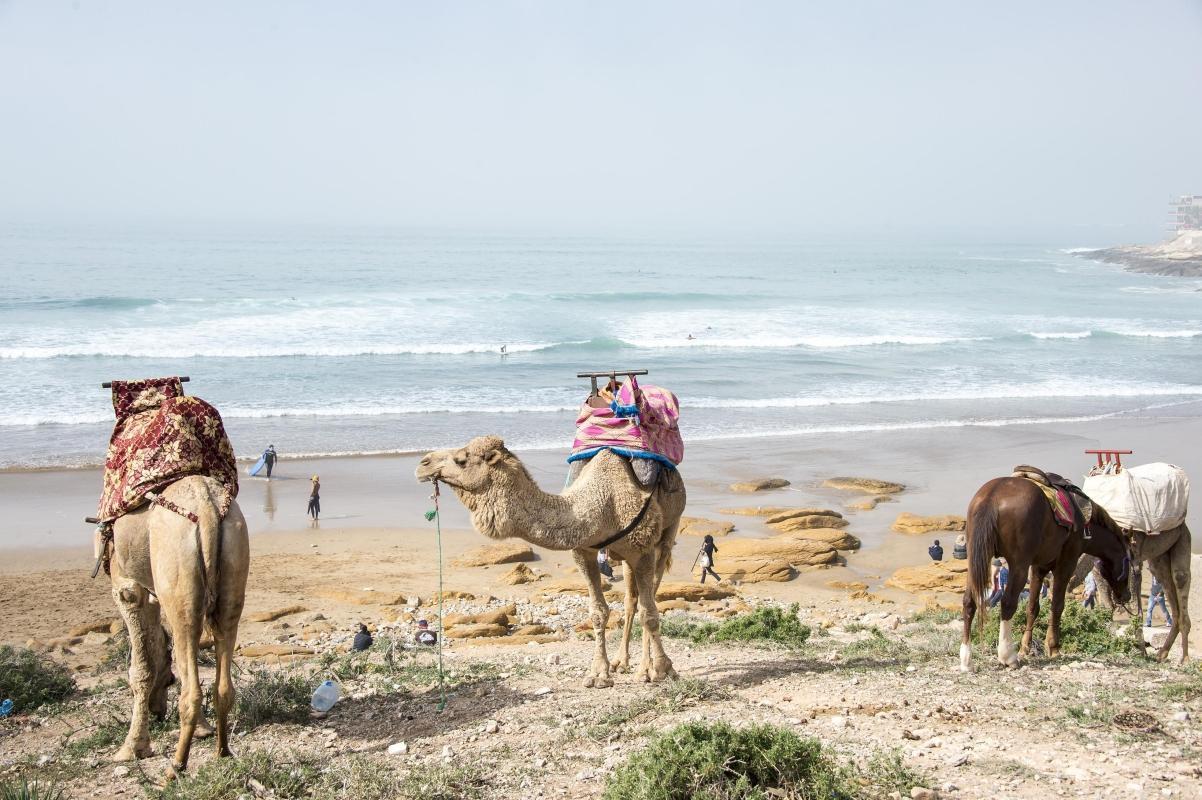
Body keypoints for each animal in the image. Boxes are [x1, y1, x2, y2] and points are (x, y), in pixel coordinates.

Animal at [103, 473, 251, 773]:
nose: (158, 711)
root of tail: (206, 507)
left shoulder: (128, 588)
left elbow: (141, 668)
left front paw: (132, 748)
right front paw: (203, 730)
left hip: (176, 570)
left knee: (191, 686)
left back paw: (176, 766)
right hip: (235, 559)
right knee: (221, 680)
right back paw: (222, 750)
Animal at [418, 437, 687, 687]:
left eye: (461, 459)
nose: (423, 463)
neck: (601, 504)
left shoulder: (643, 549)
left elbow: (649, 612)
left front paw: (662, 669)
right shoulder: (584, 551)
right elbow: (599, 612)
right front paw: (599, 674)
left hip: (666, 534)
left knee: (649, 594)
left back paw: (644, 669)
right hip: (626, 557)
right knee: (631, 601)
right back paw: (621, 662)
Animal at [956, 475, 1134, 667]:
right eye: (1130, 561)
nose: (1127, 596)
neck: (1086, 525)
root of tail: (992, 497)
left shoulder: (1038, 567)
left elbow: (1033, 607)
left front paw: (1025, 647)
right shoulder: (1066, 563)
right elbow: (1057, 605)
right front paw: (1053, 647)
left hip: (978, 558)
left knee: (969, 601)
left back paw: (966, 658)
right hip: (1018, 565)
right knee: (1008, 602)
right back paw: (1007, 655)